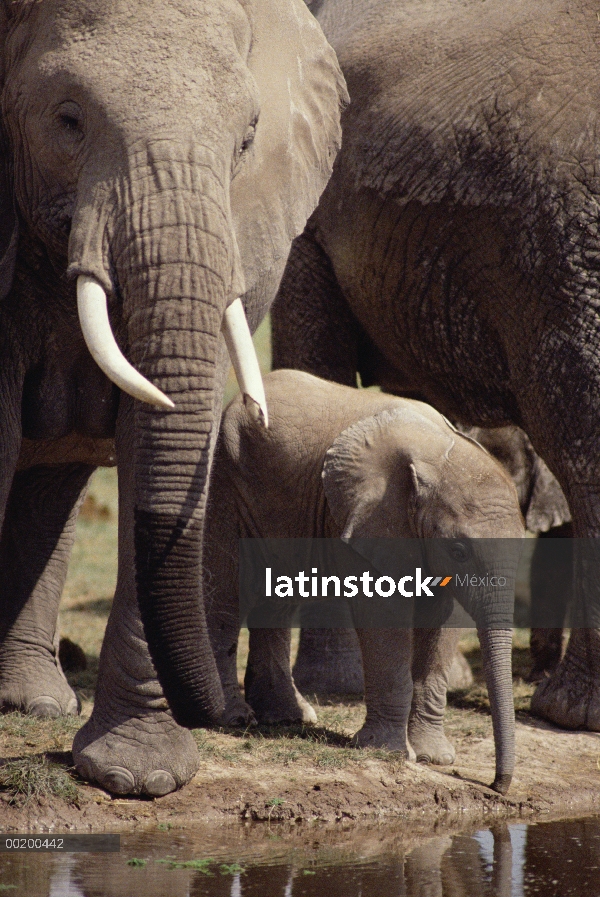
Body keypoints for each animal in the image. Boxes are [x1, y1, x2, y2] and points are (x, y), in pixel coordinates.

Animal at [0, 0, 346, 796]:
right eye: (68, 120)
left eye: (246, 140)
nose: (225, 713)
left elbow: (150, 432)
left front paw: (138, 776)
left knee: (53, 483)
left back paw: (34, 703)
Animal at [206, 370, 524, 792]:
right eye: (458, 550)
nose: (496, 785)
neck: (439, 455)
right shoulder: (376, 518)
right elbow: (384, 617)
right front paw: (387, 753)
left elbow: (442, 620)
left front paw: (434, 758)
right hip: (228, 477)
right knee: (227, 592)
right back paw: (233, 718)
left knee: (278, 597)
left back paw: (289, 717)